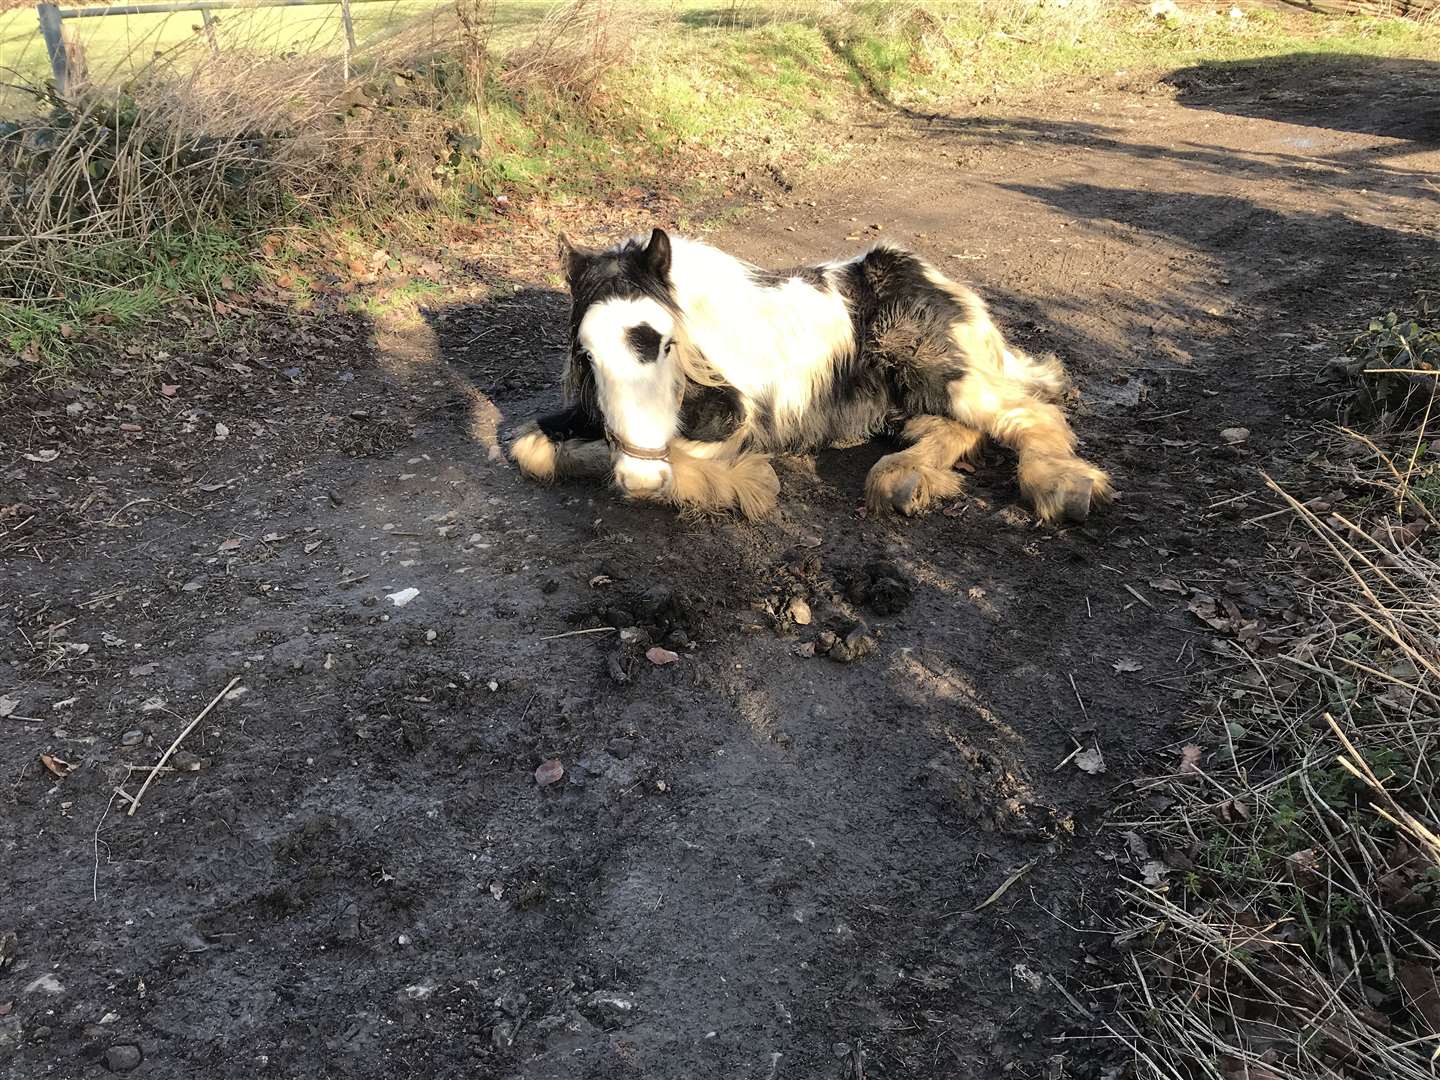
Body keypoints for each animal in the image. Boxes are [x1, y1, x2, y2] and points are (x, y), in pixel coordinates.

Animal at [506, 230, 1111, 527]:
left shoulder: (737, 422)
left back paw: (1063, 489)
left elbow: (686, 461)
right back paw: (905, 479)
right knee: (962, 424)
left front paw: (750, 484)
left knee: (1027, 412)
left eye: (664, 343)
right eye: (584, 354)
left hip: (933, 367)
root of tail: (950, 291)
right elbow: (529, 447)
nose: (638, 477)